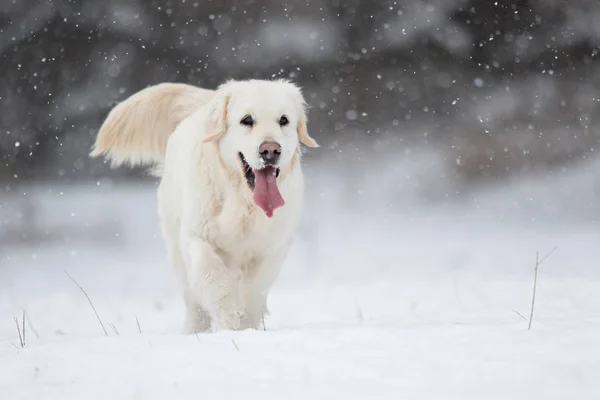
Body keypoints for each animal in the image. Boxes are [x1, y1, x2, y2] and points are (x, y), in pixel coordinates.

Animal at [90, 78, 318, 332]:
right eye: (247, 120)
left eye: (284, 120)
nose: (270, 150)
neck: (242, 201)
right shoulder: (195, 235)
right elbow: (210, 271)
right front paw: (229, 315)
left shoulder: (274, 246)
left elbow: (254, 288)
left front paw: (246, 324)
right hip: (175, 247)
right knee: (193, 300)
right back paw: (195, 330)